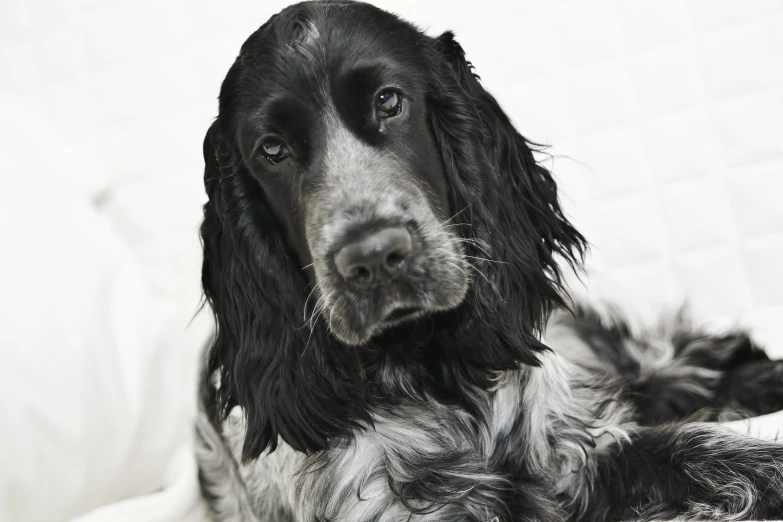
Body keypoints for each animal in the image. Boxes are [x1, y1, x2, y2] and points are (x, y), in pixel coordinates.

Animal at [193, 2, 783, 516]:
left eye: (389, 101)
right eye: (272, 150)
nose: (375, 257)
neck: (431, 371)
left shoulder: (576, 451)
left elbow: (714, 450)